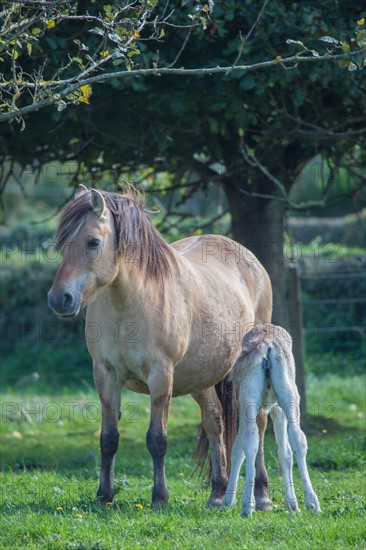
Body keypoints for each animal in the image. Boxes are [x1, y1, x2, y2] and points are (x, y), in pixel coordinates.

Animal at [47, 188, 274, 512]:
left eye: (93, 242)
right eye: (63, 243)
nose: (59, 299)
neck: (129, 304)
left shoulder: (160, 377)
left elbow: (157, 440)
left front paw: (159, 498)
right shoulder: (105, 375)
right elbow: (108, 438)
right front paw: (104, 495)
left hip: (250, 368)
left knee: (259, 421)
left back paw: (263, 495)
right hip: (202, 377)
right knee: (214, 420)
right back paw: (217, 494)